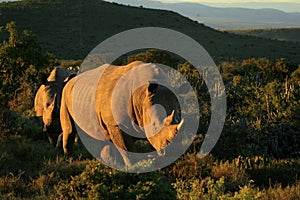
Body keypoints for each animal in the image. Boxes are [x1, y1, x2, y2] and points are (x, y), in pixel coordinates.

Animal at [60, 61, 188, 166]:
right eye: (155, 125)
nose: (174, 152)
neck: (142, 96)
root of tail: (71, 79)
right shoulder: (117, 124)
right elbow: (126, 148)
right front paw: (134, 167)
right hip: (65, 93)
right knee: (69, 129)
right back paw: (69, 160)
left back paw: (108, 162)